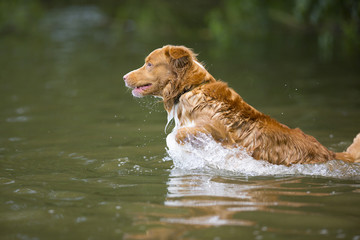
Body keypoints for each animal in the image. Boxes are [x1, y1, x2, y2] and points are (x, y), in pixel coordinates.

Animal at [124, 44, 360, 165]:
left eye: (149, 64)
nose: (124, 77)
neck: (190, 88)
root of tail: (329, 152)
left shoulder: (219, 133)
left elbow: (176, 135)